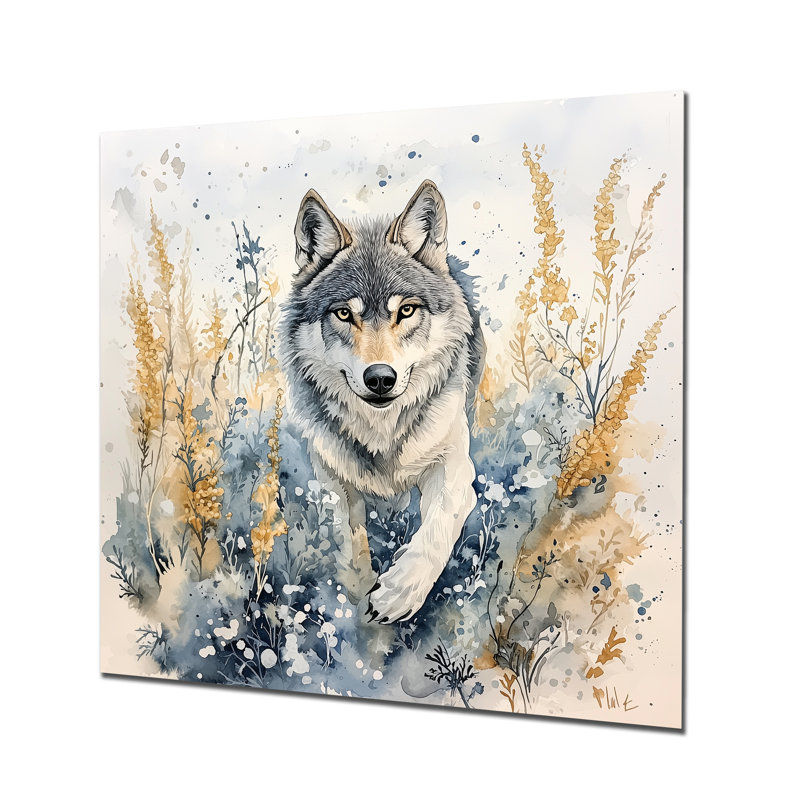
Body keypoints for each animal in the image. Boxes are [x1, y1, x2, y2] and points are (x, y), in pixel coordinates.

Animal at [281, 180, 485, 624]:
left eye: (405, 310)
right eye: (343, 314)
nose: (379, 378)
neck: (381, 428)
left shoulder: (454, 468)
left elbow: (436, 530)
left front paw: (398, 593)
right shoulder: (329, 471)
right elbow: (346, 530)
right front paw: (355, 585)